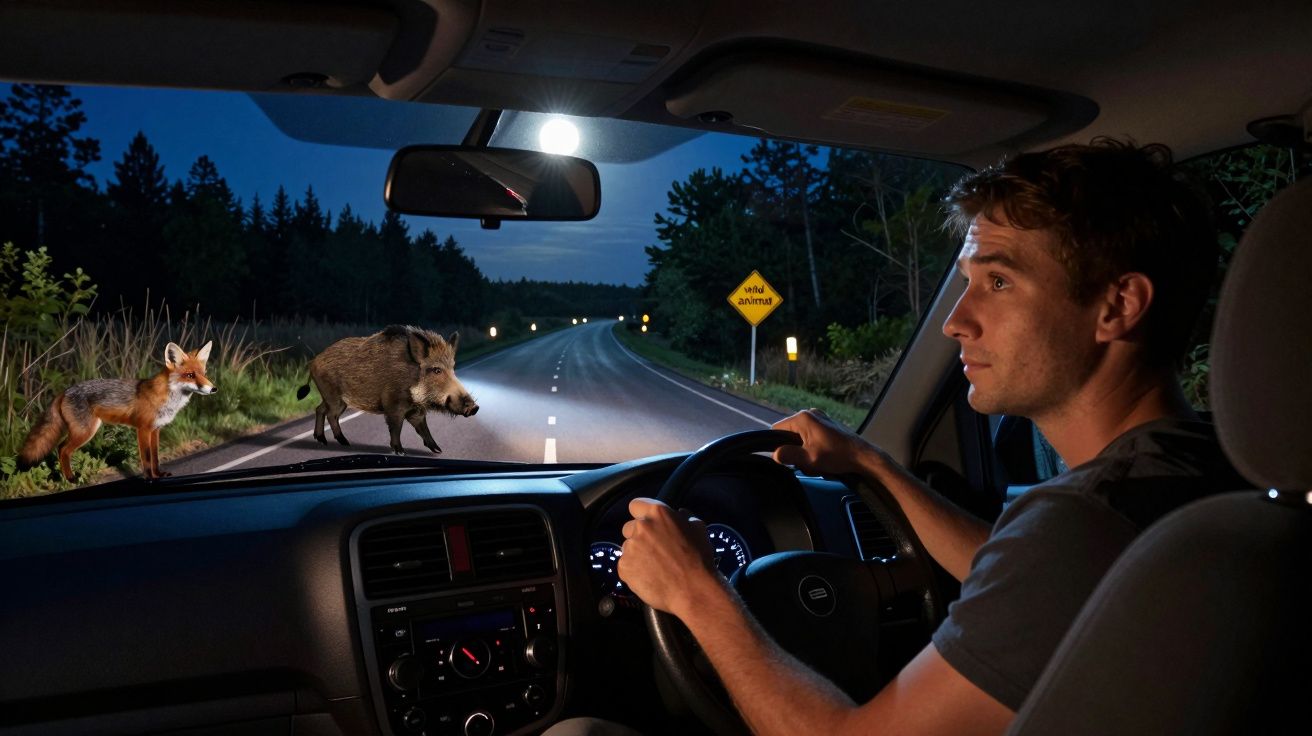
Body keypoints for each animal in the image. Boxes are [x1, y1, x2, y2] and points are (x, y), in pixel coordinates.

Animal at [16, 341, 217, 482]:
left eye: (204, 373)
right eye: (190, 375)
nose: (213, 389)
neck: (165, 398)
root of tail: (64, 391)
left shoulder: (155, 430)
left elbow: (155, 456)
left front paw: (158, 475)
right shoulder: (143, 429)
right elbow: (146, 458)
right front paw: (150, 478)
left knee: (61, 448)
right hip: (85, 432)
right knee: (62, 449)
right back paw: (71, 479)